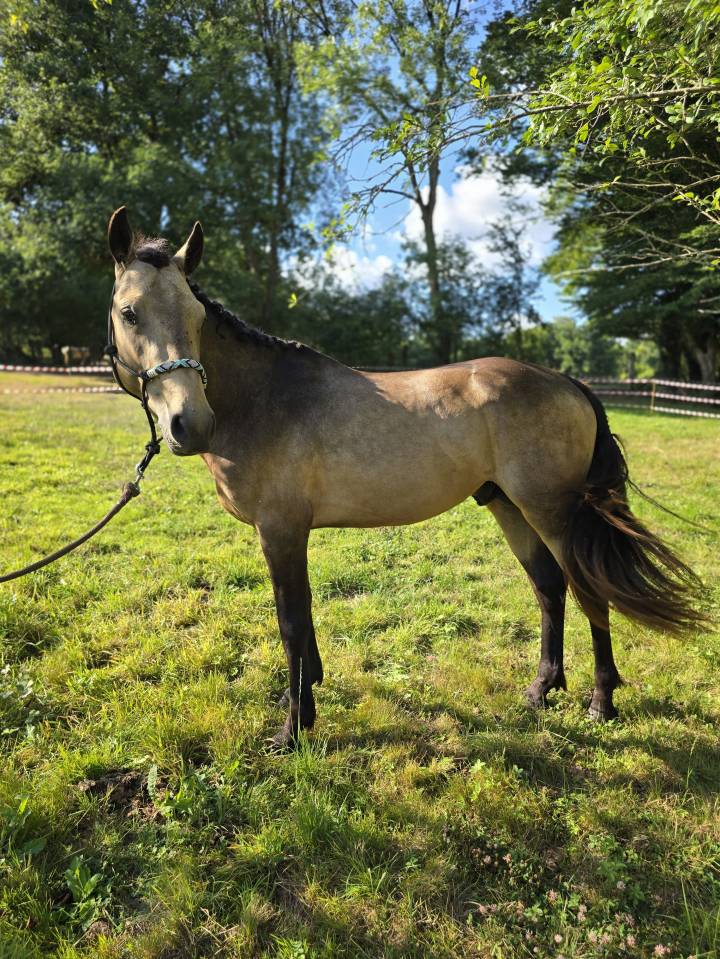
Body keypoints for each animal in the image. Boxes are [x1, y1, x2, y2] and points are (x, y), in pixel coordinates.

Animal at [106, 207, 703, 748]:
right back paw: (541, 690)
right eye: (130, 313)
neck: (263, 398)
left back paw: (601, 703)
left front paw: (293, 729)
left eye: (196, 318)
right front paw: (307, 693)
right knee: (549, 587)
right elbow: (305, 619)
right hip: (509, 505)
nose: (190, 424)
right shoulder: (291, 534)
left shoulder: (280, 530)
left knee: (587, 590)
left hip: (552, 511)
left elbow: (291, 622)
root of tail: (565, 380)